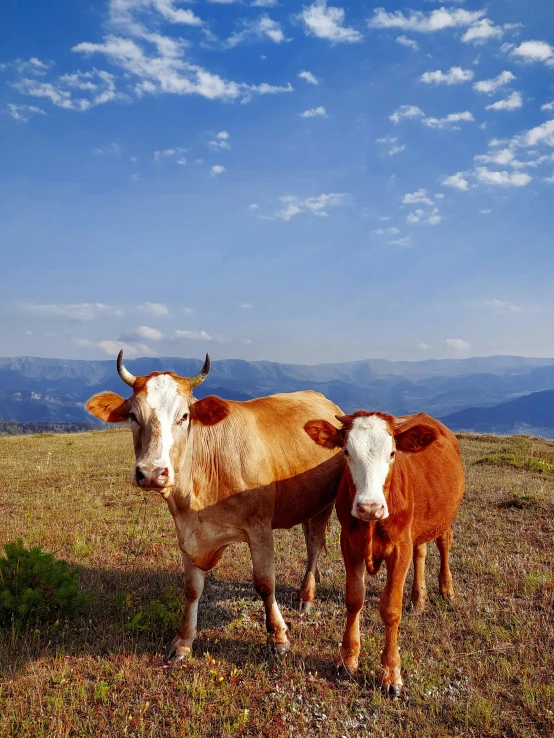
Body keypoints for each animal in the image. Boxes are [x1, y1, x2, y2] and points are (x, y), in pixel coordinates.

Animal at [86, 354, 342, 660]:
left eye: (184, 416)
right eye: (133, 416)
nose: (151, 472)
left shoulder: (259, 528)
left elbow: (265, 583)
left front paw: (278, 637)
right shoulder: (187, 532)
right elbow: (192, 589)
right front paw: (183, 642)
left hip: (325, 502)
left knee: (314, 543)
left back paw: (307, 597)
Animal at [304, 412, 464, 692]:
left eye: (392, 453)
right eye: (346, 451)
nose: (369, 507)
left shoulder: (399, 548)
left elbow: (390, 609)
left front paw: (391, 674)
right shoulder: (349, 544)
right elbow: (354, 599)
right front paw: (348, 659)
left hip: (444, 515)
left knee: (444, 542)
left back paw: (446, 590)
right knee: (421, 551)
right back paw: (418, 598)